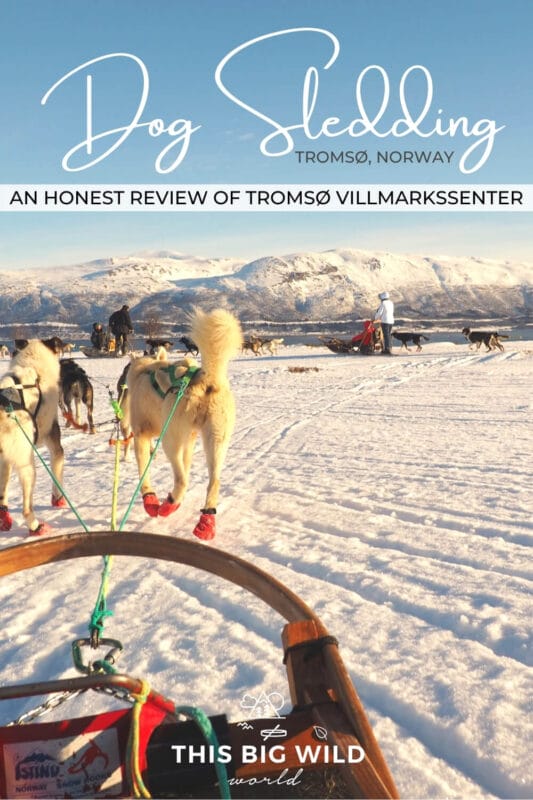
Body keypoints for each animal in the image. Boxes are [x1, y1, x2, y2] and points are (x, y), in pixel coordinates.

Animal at [0, 340, 65, 536]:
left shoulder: (6, 460)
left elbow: (3, 494)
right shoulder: (54, 440)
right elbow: (57, 471)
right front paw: (58, 499)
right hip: (28, 467)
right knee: (27, 509)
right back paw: (36, 526)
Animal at [119, 310, 242, 540]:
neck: (145, 369)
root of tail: (206, 378)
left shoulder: (141, 436)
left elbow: (144, 476)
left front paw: (150, 500)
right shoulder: (189, 441)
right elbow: (187, 465)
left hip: (170, 440)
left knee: (182, 480)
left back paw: (168, 505)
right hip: (215, 441)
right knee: (213, 481)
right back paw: (205, 523)